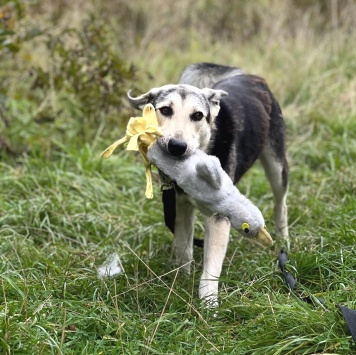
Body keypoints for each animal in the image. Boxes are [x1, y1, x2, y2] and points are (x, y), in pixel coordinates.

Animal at [126, 62, 288, 308]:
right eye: (165, 110)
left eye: (198, 115)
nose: (177, 146)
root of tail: (253, 77)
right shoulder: (180, 204)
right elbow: (184, 248)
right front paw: (181, 279)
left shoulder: (220, 215)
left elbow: (211, 268)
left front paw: (209, 305)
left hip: (277, 166)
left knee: (281, 203)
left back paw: (284, 239)